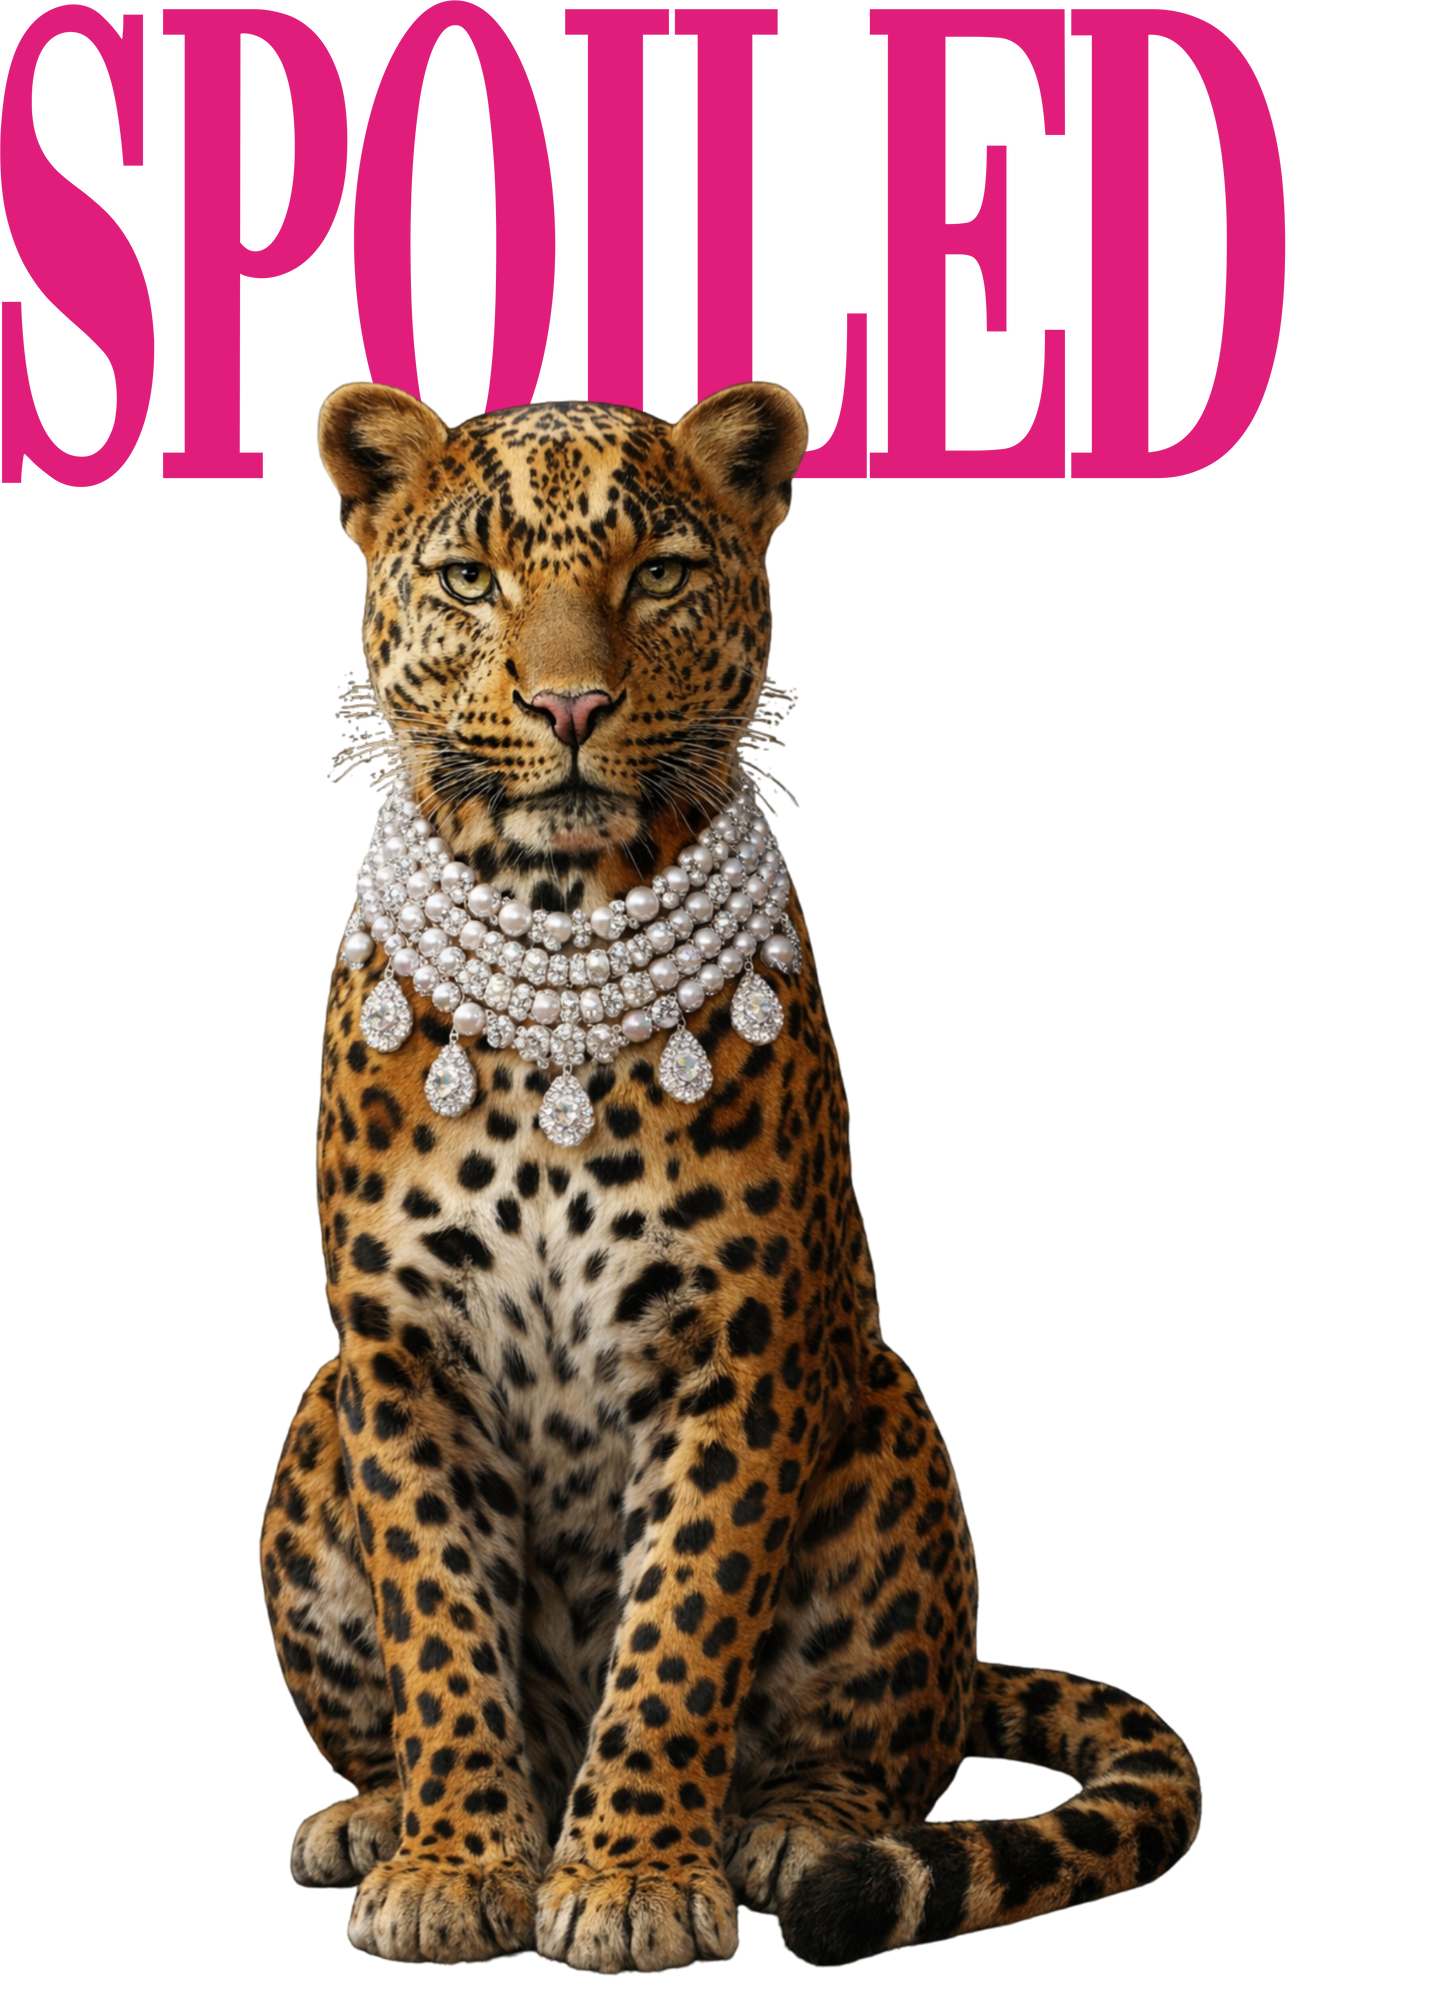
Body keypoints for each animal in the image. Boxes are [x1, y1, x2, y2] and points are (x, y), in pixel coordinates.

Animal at [257, 377, 1205, 1972]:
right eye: (471, 580)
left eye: (657, 576)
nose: (570, 707)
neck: (556, 905)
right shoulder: (401, 1360)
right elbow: (442, 1630)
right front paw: (455, 1861)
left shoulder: (739, 1350)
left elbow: (681, 1626)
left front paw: (632, 1878)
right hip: (309, 1432)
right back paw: (376, 1812)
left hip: (891, 1428)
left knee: (887, 1756)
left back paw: (792, 1831)